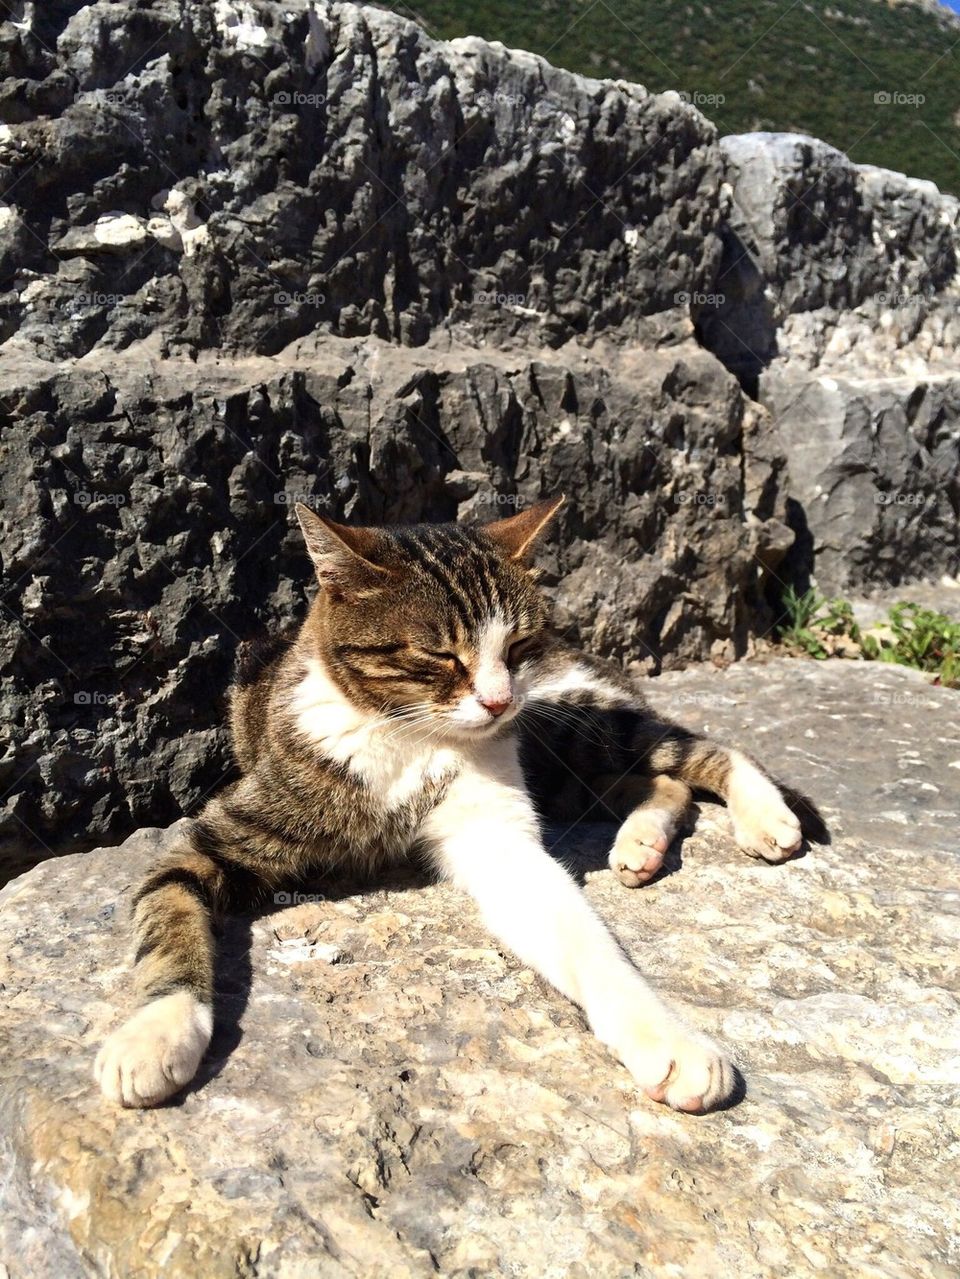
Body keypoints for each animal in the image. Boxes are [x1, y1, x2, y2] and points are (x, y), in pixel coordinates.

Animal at [95, 493, 802, 1115]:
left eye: (516, 648)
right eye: (439, 655)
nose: (499, 701)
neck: (411, 741)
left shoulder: (499, 839)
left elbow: (590, 947)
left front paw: (670, 1040)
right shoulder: (208, 843)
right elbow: (167, 920)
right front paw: (154, 1033)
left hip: (571, 726)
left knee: (701, 750)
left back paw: (766, 817)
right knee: (657, 783)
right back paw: (641, 844)